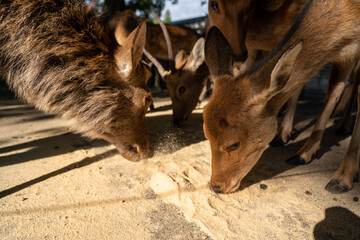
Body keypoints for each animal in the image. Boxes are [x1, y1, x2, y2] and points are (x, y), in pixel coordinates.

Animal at [205, 0, 360, 194]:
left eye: (233, 144)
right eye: (206, 136)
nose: (216, 186)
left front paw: (342, 179)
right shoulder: (342, 54)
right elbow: (332, 91)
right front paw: (303, 153)